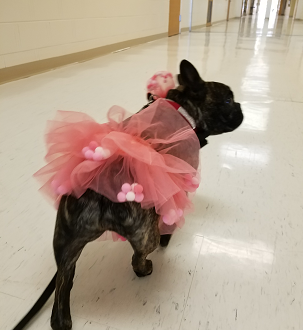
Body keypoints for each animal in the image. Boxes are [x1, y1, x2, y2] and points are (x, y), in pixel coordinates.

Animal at [12, 59, 245, 330]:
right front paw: (170, 233)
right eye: (227, 100)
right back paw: (145, 268)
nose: (240, 106)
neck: (184, 108)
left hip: (65, 240)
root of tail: (99, 195)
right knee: (137, 256)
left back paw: (61, 318)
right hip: (144, 234)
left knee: (63, 279)